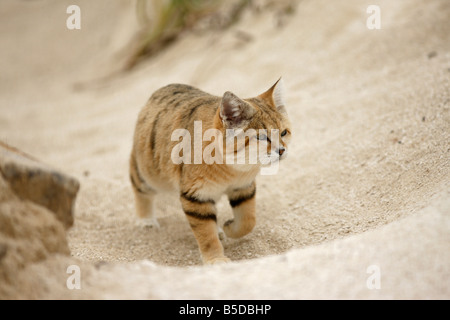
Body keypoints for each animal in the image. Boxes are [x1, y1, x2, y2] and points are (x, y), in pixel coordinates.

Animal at [130, 79, 292, 264]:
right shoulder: (196, 197)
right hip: (148, 173)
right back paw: (146, 220)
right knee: (139, 188)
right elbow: (206, 234)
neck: (232, 169)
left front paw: (229, 228)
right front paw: (216, 260)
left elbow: (248, 220)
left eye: (284, 133)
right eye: (261, 137)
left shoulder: (243, 188)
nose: (282, 150)